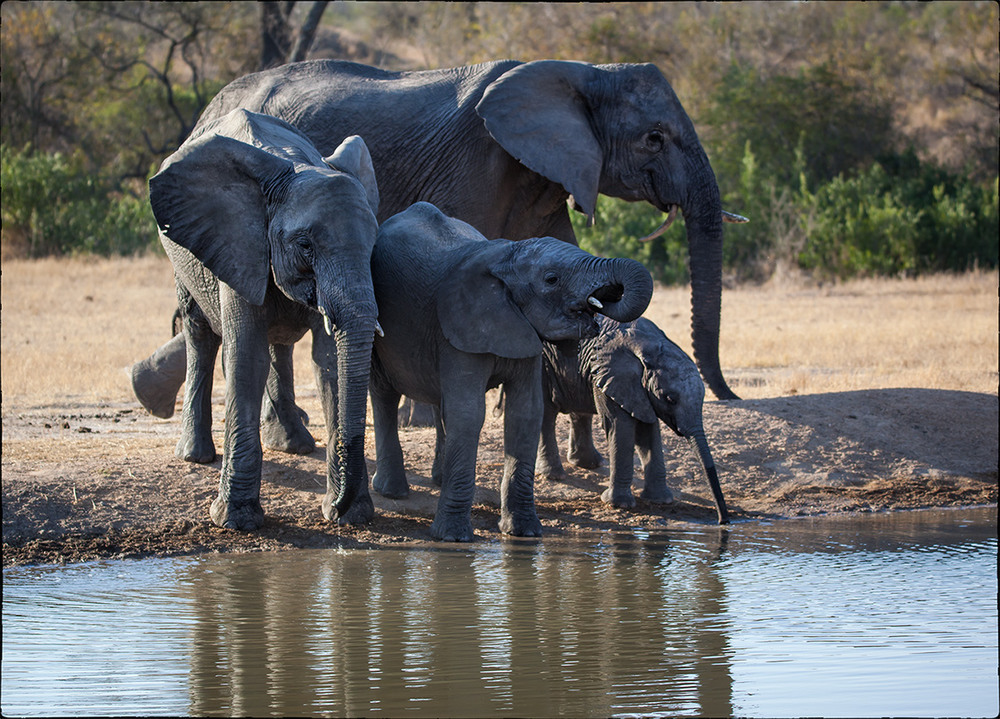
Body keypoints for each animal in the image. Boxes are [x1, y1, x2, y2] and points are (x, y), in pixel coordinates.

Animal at [146, 109, 380, 532]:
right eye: (305, 245)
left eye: (373, 244)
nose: (338, 509)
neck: (298, 169)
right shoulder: (237, 242)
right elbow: (245, 357)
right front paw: (235, 520)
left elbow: (328, 364)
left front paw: (352, 514)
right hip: (182, 254)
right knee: (200, 334)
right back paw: (195, 456)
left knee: (278, 345)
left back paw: (292, 445)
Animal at [368, 202, 656, 540]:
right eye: (551, 279)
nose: (599, 304)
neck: (506, 256)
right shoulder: (463, 327)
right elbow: (469, 414)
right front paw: (452, 537)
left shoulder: (521, 331)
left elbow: (525, 413)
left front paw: (524, 533)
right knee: (384, 393)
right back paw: (391, 491)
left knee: (439, 401)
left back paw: (437, 480)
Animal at [540, 316, 728, 524]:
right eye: (670, 399)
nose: (723, 521)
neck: (648, 344)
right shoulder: (612, 375)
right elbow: (620, 426)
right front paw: (619, 504)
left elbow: (648, 430)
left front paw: (661, 500)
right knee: (546, 413)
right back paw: (554, 475)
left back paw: (589, 464)